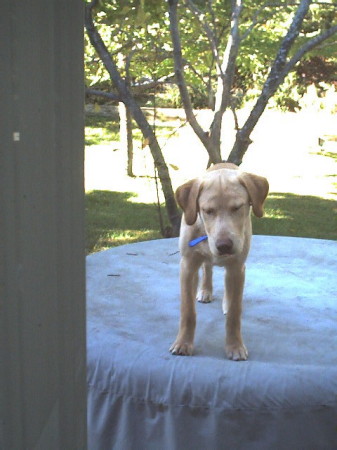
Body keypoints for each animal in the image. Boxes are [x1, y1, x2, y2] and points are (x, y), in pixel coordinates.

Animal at [169, 163, 270, 360]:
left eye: (237, 207)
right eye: (208, 211)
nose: (224, 246)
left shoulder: (237, 268)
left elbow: (234, 314)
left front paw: (235, 346)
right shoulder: (187, 266)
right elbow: (188, 312)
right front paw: (183, 343)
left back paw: (225, 302)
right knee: (207, 268)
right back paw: (205, 290)